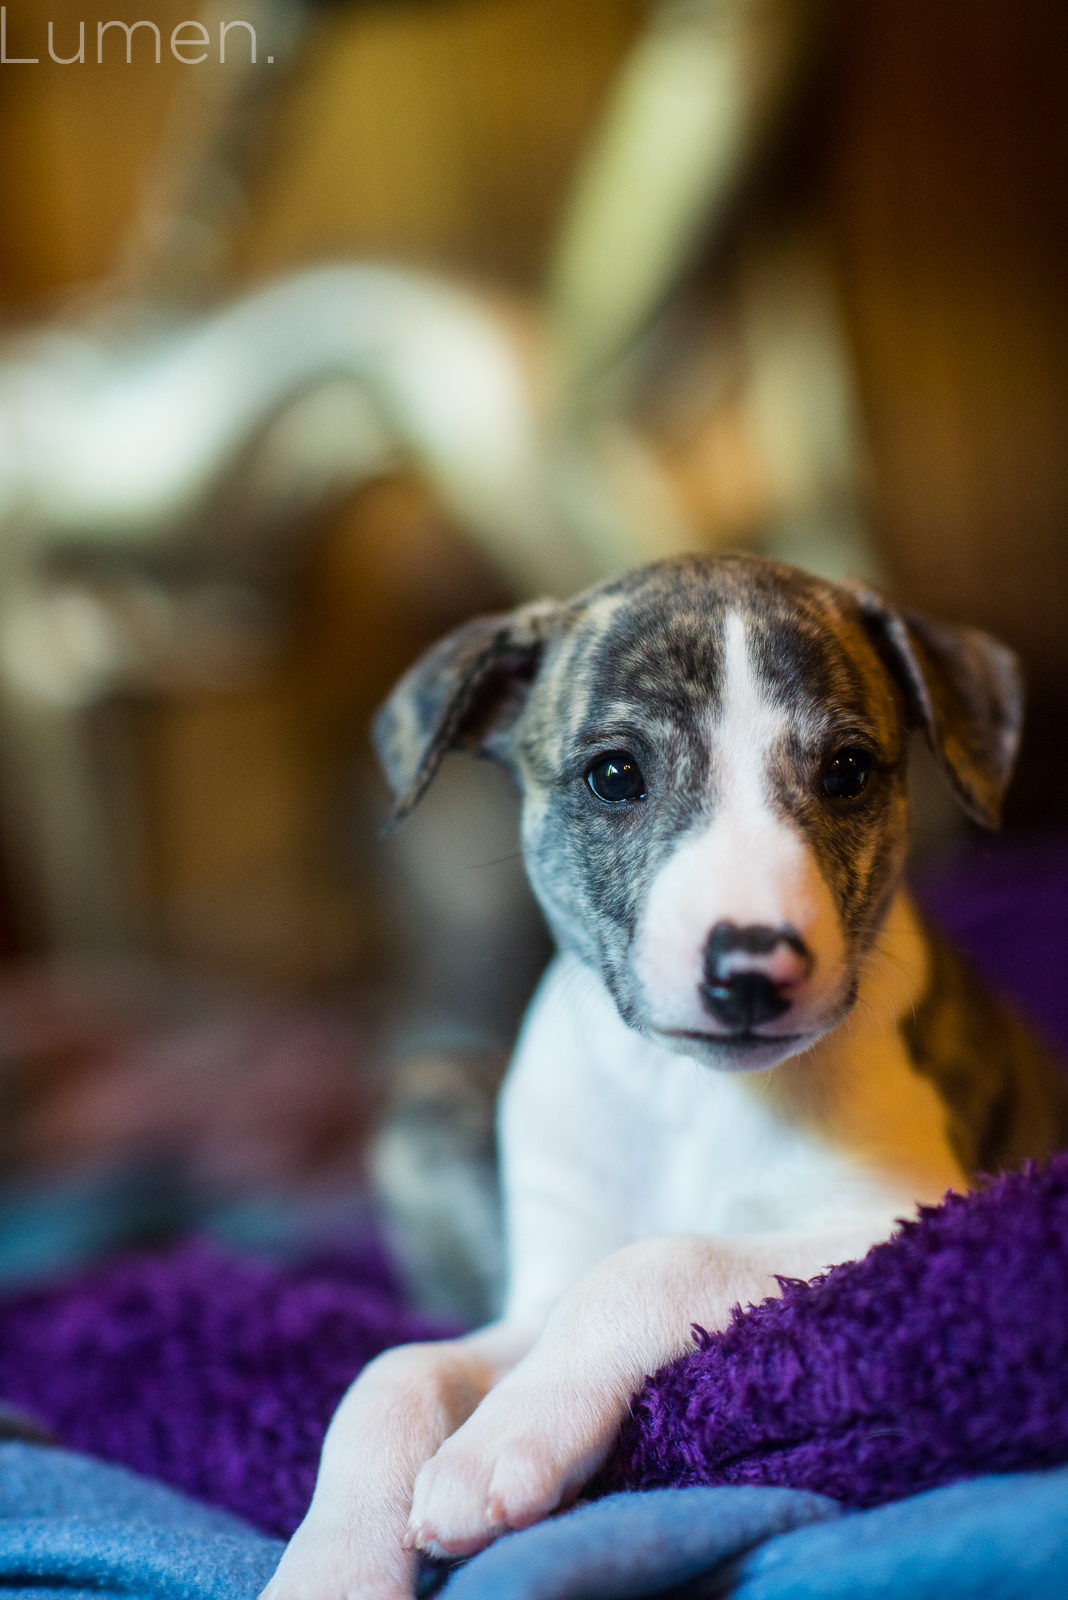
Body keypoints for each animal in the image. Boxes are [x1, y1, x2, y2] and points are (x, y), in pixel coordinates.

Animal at [265, 553, 1068, 1600]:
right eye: (615, 775)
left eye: (847, 771)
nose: (752, 969)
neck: (687, 1092)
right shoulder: (533, 1300)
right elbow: (392, 1370)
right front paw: (331, 1565)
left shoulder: (901, 1214)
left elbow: (659, 1257)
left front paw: (497, 1446)